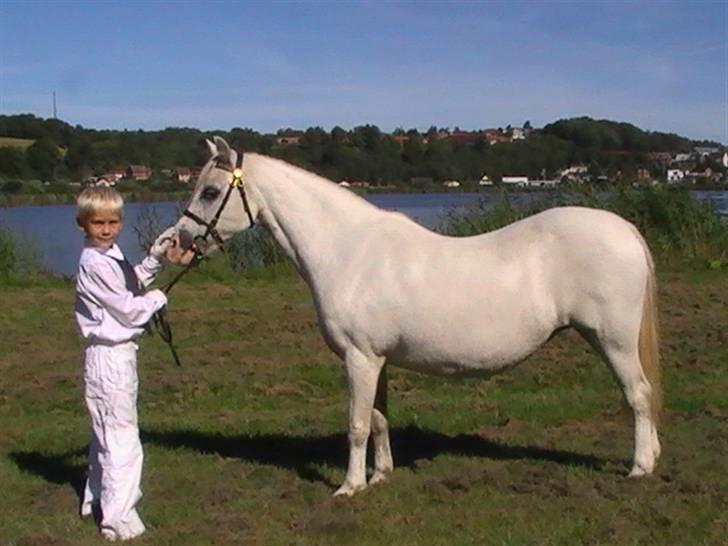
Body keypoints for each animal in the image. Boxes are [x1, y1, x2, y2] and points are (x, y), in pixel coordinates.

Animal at [173, 136, 664, 492]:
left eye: (211, 192)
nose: (177, 244)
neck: (347, 249)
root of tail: (625, 228)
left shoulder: (359, 359)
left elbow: (355, 424)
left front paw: (350, 487)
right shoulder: (377, 360)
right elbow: (378, 420)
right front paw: (380, 476)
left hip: (613, 340)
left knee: (638, 394)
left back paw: (640, 467)